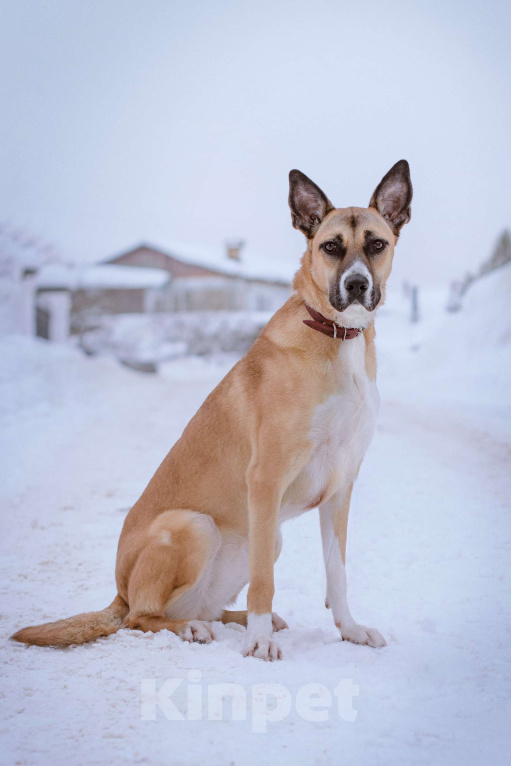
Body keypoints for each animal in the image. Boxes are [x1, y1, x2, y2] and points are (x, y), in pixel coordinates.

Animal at [12, 160, 412, 660]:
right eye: (330, 247)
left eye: (377, 244)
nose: (356, 285)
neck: (336, 335)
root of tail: (118, 591)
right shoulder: (265, 479)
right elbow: (264, 582)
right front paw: (258, 644)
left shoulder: (341, 486)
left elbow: (337, 573)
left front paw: (349, 630)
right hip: (197, 526)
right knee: (142, 618)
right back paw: (199, 629)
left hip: (266, 536)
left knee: (204, 607)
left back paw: (239, 621)